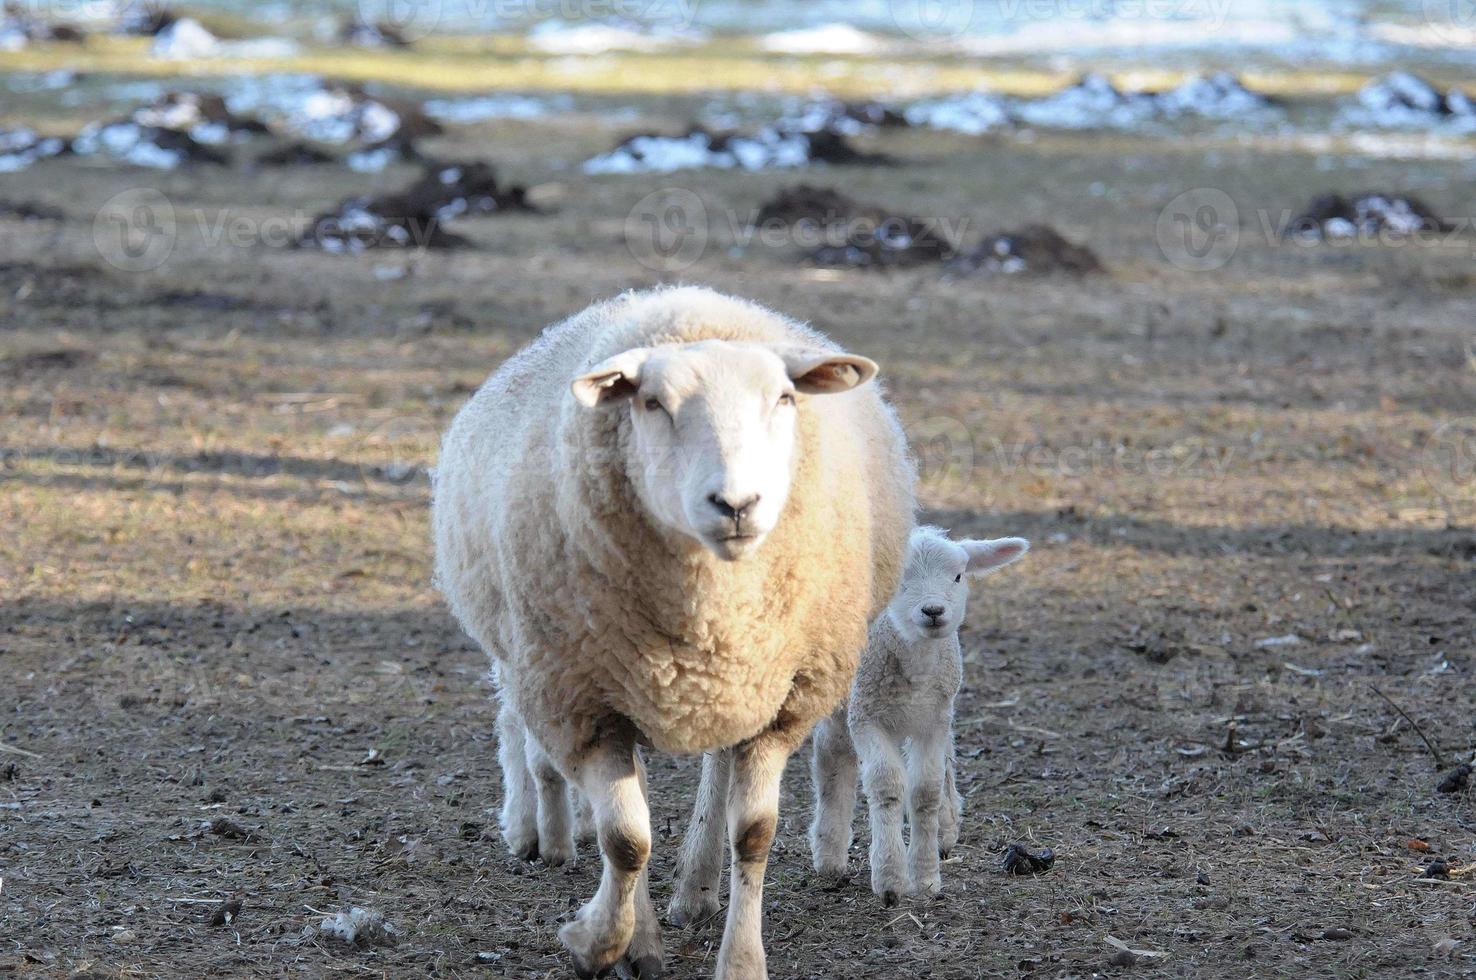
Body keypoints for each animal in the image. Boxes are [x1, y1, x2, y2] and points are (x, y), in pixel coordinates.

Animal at [430, 284, 909, 980]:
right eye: (653, 403)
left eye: (784, 398)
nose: (736, 504)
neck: (708, 614)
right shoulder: (585, 703)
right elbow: (626, 840)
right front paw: (603, 943)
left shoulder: (781, 699)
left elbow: (753, 834)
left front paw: (741, 961)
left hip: (728, 688)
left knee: (716, 771)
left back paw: (696, 888)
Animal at [808, 528, 1027, 903]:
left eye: (958, 576)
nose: (934, 610)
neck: (916, 669)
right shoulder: (866, 716)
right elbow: (886, 785)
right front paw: (890, 878)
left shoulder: (934, 719)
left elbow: (925, 789)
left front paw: (925, 877)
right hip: (840, 696)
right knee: (831, 756)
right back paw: (829, 852)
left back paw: (946, 829)